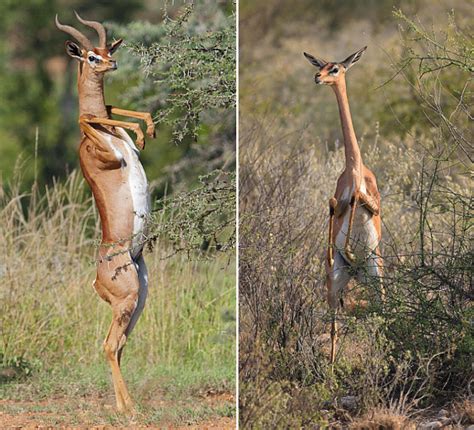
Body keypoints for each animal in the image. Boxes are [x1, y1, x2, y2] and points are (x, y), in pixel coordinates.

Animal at [304, 46, 386, 362]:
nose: (317, 77)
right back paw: (329, 368)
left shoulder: (375, 207)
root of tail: (356, 274)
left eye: (336, 69)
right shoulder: (338, 205)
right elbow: (332, 203)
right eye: (321, 66)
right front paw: (344, 249)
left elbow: (359, 200)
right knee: (334, 325)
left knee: (382, 312)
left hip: (376, 273)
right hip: (335, 283)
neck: (354, 169)